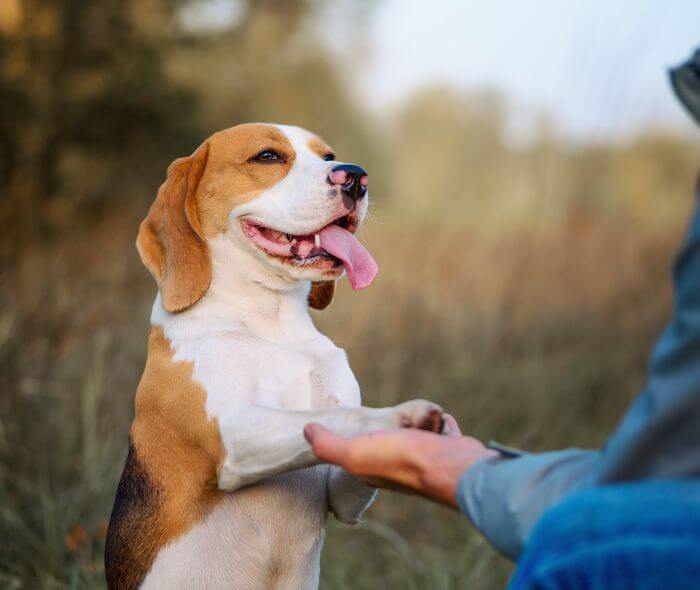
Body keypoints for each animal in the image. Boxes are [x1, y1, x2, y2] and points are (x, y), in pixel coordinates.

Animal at [104, 122, 442, 588]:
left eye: (327, 156)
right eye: (267, 156)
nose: (356, 177)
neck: (270, 322)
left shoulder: (341, 495)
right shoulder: (236, 435)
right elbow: (336, 416)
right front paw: (399, 416)